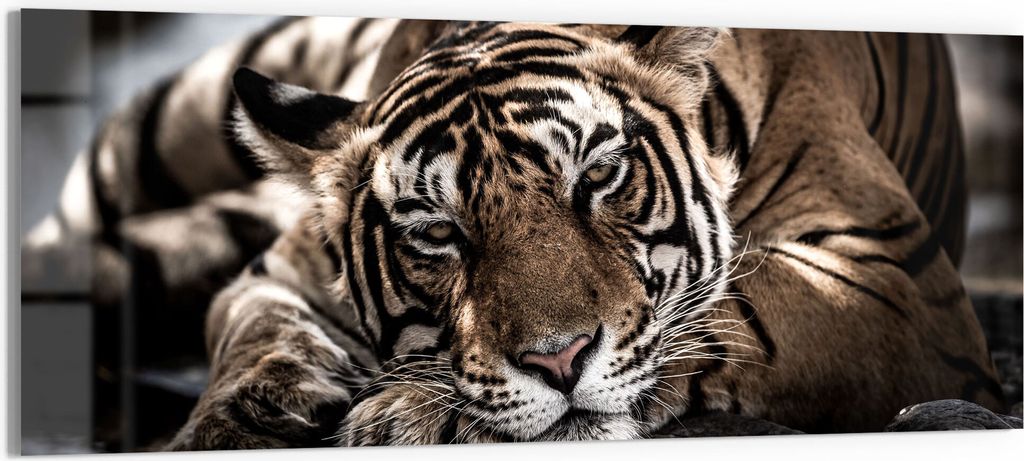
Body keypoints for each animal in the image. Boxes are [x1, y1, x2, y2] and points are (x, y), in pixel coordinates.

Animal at [23, 17, 1006, 449]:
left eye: (597, 179)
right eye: (436, 232)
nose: (559, 360)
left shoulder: (896, 276)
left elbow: (739, 309)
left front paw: (412, 411)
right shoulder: (279, 269)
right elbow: (255, 334)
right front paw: (236, 420)